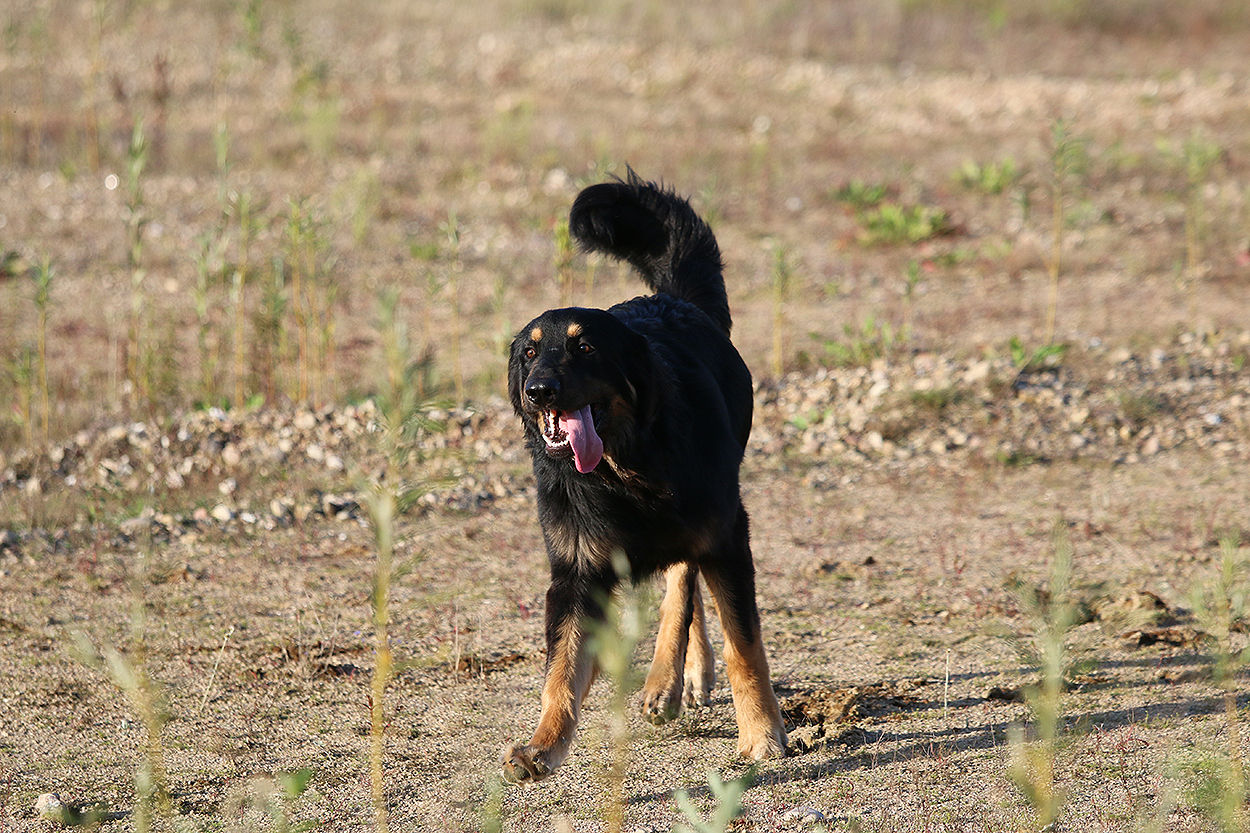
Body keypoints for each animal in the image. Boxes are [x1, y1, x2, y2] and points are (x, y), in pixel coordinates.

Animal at [502, 172, 787, 784]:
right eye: (530, 354)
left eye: (584, 346)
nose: (538, 391)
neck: (622, 469)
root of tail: (673, 300)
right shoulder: (576, 574)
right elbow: (561, 671)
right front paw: (544, 745)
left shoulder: (728, 534)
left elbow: (744, 646)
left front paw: (761, 735)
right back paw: (675, 679)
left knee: (684, 579)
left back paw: (670, 676)